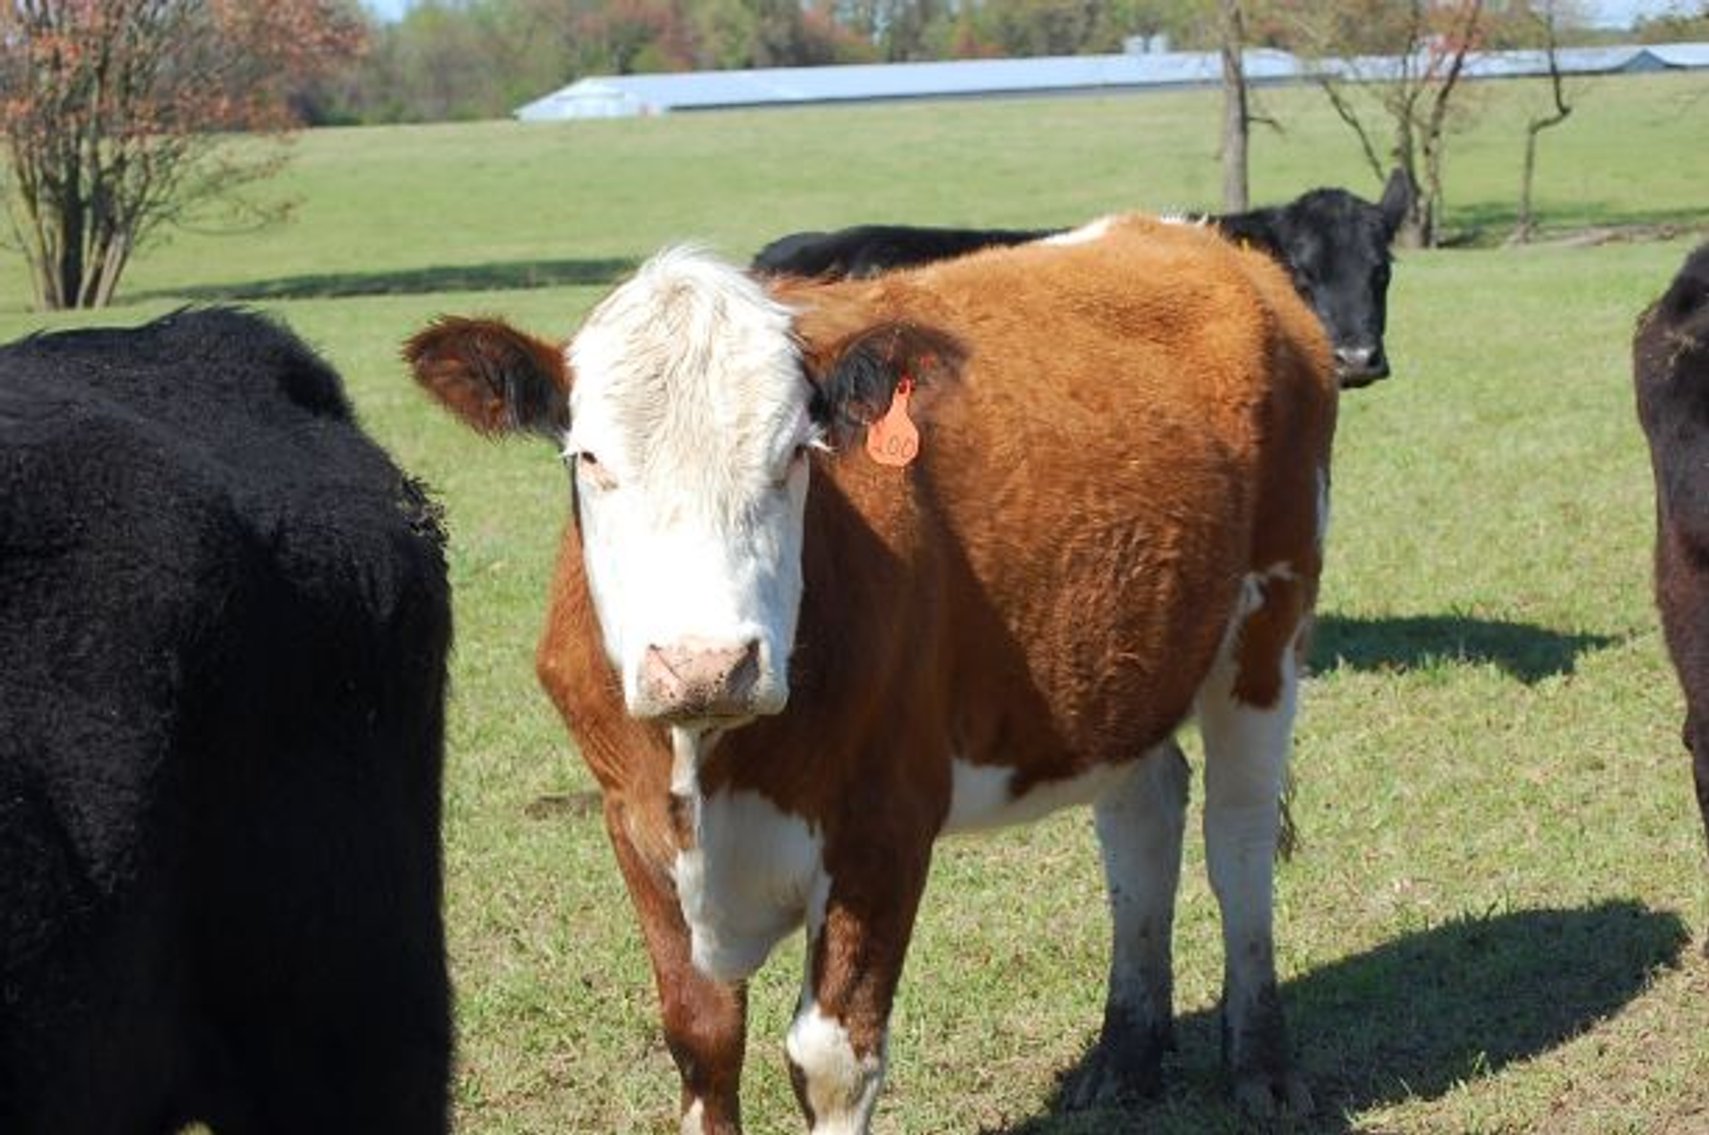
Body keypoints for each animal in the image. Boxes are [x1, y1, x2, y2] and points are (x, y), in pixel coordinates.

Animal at [406, 214, 1337, 1131]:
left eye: (794, 453)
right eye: (590, 458)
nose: (706, 665)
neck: (709, 761)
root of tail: (1202, 239)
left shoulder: (885, 823)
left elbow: (830, 1060)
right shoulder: (632, 822)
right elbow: (702, 1038)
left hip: (1268, 630)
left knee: (1237, 834)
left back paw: (1263, 1067)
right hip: (1121, 664)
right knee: (1142, 815)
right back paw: (1124, 1056)